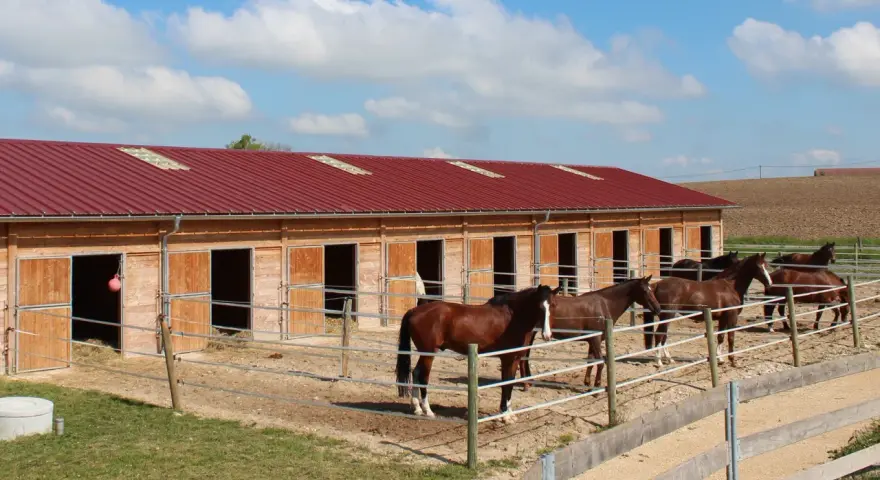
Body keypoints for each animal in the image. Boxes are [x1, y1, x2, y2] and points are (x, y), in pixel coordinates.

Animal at [395, 284, 561, 423]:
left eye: (553, 305)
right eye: (539, 306)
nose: (547, 335)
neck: (513, 318)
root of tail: (414, 311)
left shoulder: (514, 360)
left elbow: (509, 383)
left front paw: (508, 413)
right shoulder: (507, 359)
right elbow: (506, 384)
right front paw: (505, 416)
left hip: (424, 353)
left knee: (416, 373)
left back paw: (417, 408)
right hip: (428, 353)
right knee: (423, 377)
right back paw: (428, 410)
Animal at [518, 276, 663, 389]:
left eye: (652, 289)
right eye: (645, 291)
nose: (658, 309)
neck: (604, 304)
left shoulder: (592, 340)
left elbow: (590, 361)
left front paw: (587, 382)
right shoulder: (596, 340)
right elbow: (600, 362)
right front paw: (596, 387)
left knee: (525, 356)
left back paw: (529, 381)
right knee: (522, 357)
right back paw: (525, 384)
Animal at [643, 253, 773, 368]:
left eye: (766, 265)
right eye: (758, 266)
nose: (770, 283)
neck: (730, 286)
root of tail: (656, 285)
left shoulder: (723, 318)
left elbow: (721, 337)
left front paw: (720, 359)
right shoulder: (732, 316)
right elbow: (731, 337)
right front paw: (733, 361)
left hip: (666, 317)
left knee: (664, 336)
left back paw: (669, 359)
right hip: (667, 315)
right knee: (659, 335)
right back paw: (659, 361)